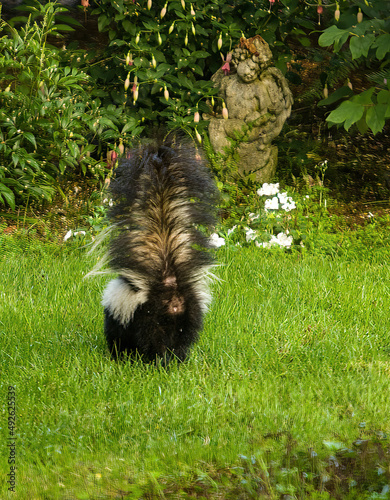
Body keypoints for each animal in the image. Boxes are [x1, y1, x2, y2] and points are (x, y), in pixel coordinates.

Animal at [100, 137, 218, 364]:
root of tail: (169, 284)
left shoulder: (124, 318)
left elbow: (119, 338)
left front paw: (119, 356)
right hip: (189, 315)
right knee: (183, 338)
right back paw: (177, 359)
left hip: (149, 317)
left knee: (153, 339)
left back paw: (158, 361)